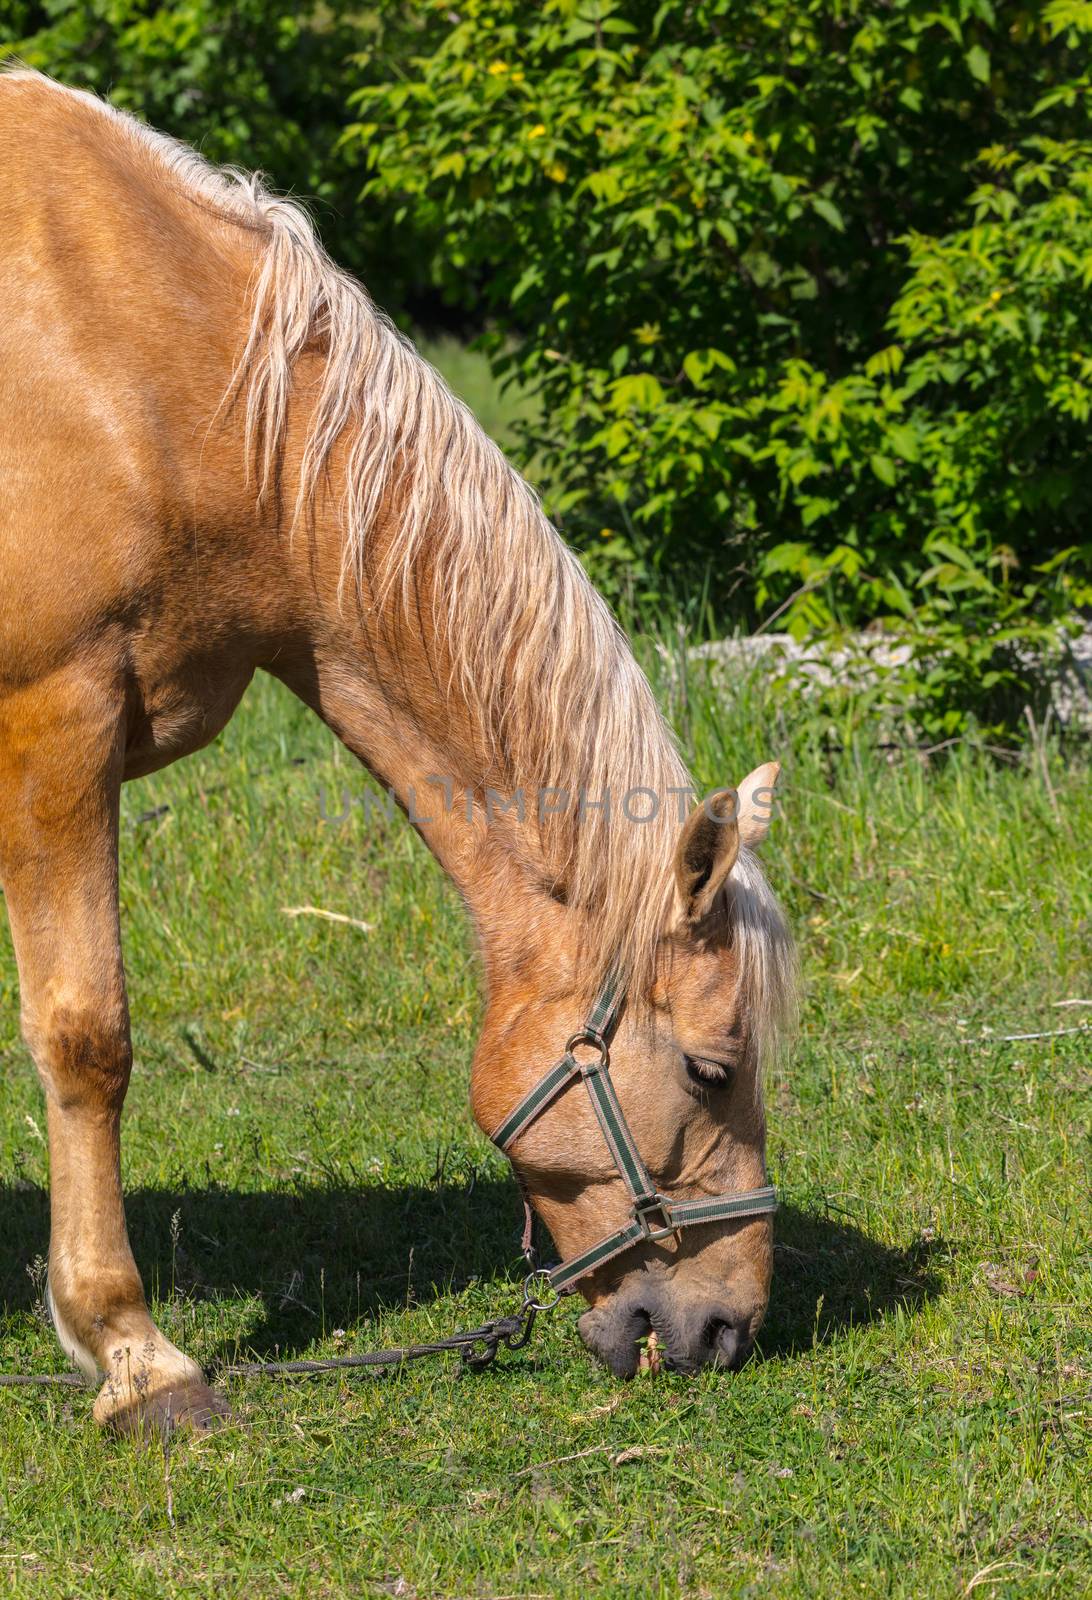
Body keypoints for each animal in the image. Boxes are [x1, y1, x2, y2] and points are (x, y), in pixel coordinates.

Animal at [0, 68, 790, 1433]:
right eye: (706, 1068)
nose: (726, 1330)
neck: (135, 361)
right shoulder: (54, 723)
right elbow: (88, 1038)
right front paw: (133, 1355)